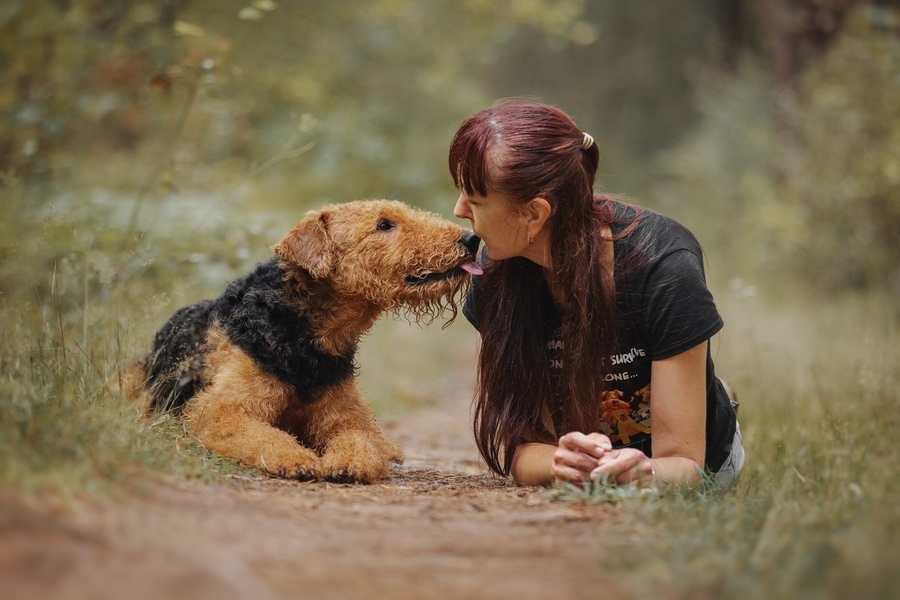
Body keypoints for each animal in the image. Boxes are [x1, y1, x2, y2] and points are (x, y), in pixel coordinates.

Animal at [125, 200, 486, 482]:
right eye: (384, 224)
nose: (471, 238)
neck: (307, 339)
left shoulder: (345, 420)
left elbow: (361, 441)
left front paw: (349, 465)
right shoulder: (222, 410)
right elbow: (264, 436)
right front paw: (298, 460)